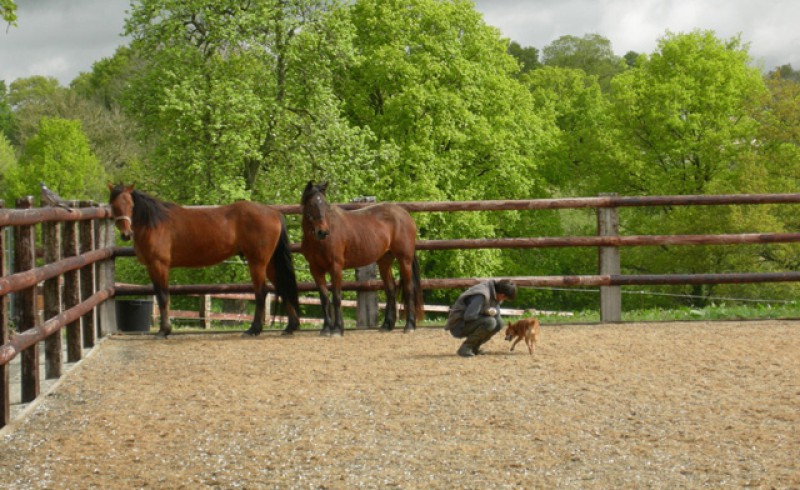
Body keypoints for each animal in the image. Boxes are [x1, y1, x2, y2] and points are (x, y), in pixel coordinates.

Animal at [108, 182, 302, 338]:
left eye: (130, 204)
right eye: (114, 205)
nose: (126, 234)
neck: (155, 223)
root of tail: (273, 212)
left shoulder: (159, 265)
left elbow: (163, 296)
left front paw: (164, 331)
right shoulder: (151, 267)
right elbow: (159, 294)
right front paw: (164, 329)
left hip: (257, 262)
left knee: (261, 292)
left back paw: (254, 329)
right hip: (269, 263)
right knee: (283, 287)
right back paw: (290, 327)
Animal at [300, 181, 424, 336]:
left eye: (326, 205)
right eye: (311, 204)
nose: (323, 232)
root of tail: (404, 214)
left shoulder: (336, 267)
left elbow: (336, 297)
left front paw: (337, 329)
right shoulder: (315, 270)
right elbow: (324, 298)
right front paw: (326, 329)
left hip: (404, 260)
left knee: (408, 289)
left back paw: (409, 326)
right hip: (384, 261)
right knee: (390, 289)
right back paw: (387, 325)